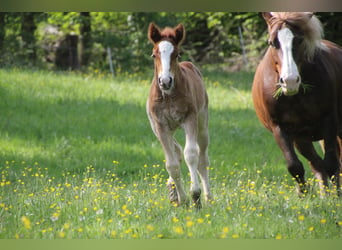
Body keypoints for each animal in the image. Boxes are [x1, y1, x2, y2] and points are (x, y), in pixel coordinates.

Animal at [146, 23, 211, 207]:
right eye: (154, 54)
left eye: (176, 54)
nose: (165, 81)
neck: (168, 96)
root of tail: (190, 65)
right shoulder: (160, 126)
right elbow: (172, 163)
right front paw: (182, 198)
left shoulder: (190, 119)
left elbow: (191, 154)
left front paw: (195, 195)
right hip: (161, 128)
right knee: (177, 150)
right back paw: (172, 191)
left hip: (202, 124)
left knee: (202, 158)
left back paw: (209, 197)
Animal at [251, 12, 342, 195]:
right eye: (272, 42)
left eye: (299, 40)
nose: (290, 81)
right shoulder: (280, 128)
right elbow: (295, 166)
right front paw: (304, 195)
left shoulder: (329, 122)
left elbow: (331, 163)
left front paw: (336, 197)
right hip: (301, 140)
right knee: (316, 164)